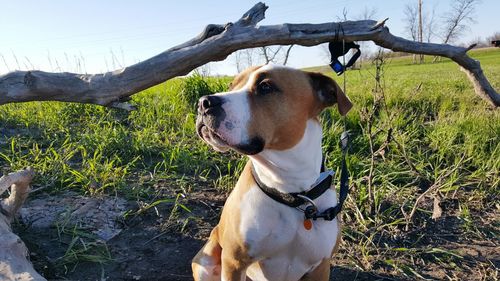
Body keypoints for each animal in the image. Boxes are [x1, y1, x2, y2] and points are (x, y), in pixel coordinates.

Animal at [191, 64, 352, 280]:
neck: (289, 190)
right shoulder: (234, 262)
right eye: (231, 85)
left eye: (265, 87)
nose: (203, 102)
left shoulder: (321, 267)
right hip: (206, 261)